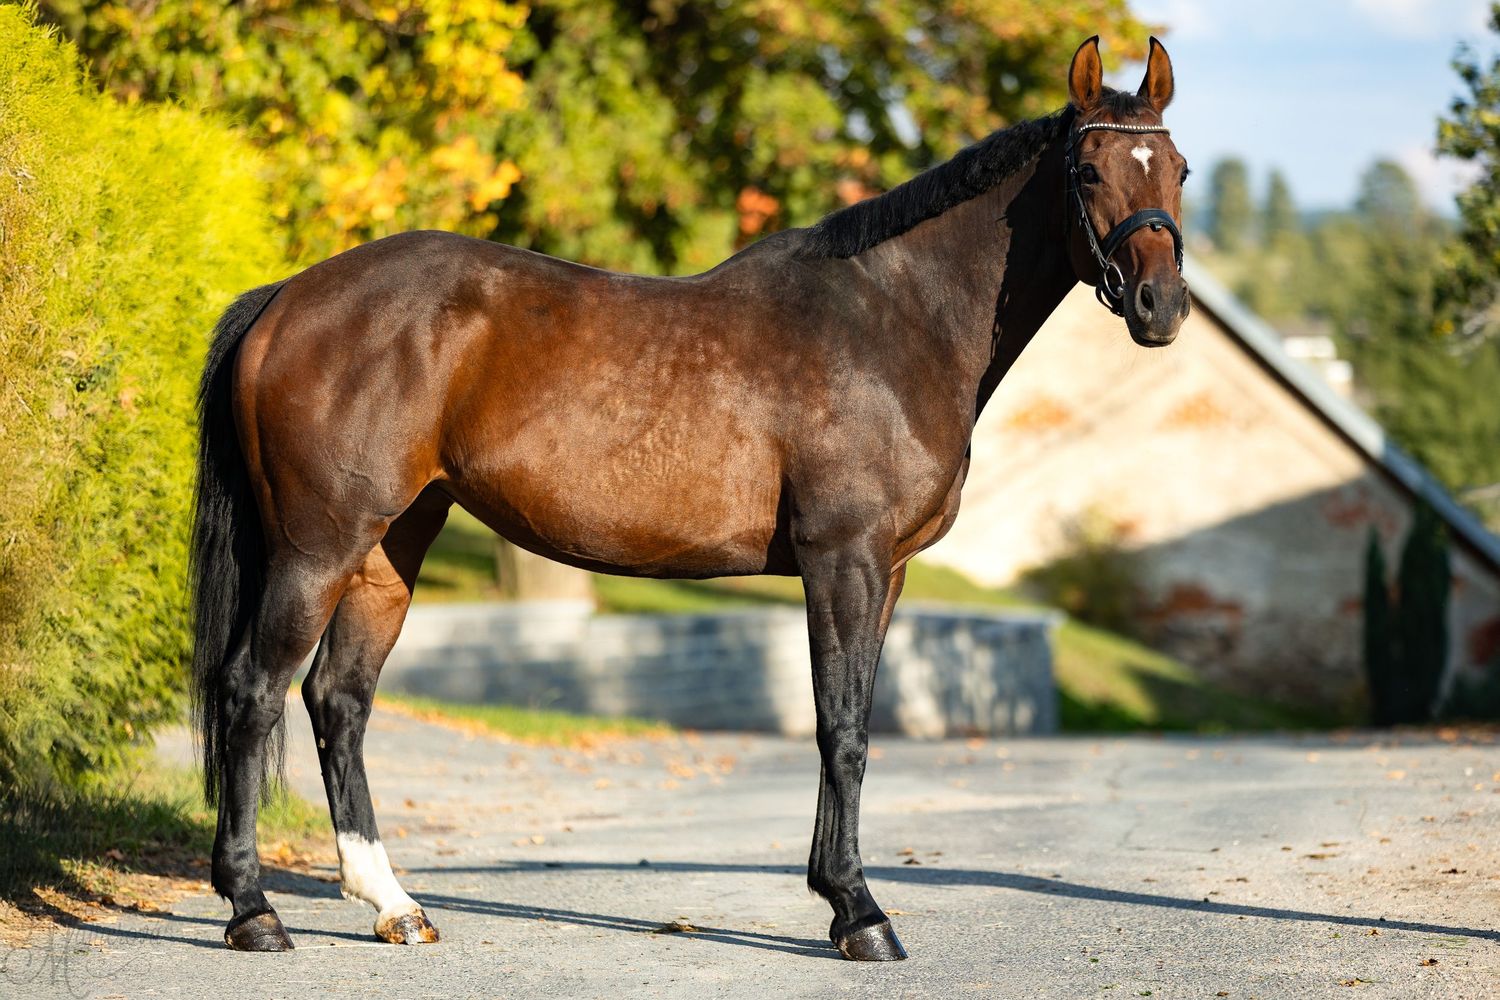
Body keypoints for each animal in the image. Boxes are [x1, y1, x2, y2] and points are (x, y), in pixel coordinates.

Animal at [189, 35, 1189, 961]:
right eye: (1090, 169)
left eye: (1175, 170)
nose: (1162, 306)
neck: (893, 323)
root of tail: (288, 296)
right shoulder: (844, 561)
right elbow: (842, 729)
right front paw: (859, 914)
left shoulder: (889, 572)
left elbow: (853, 724)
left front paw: (844, 901)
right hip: (318, 546)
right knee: (252, 691)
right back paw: (253, 911)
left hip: (389, 548)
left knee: (338, 701)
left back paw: (393, 905)